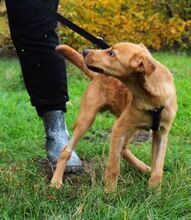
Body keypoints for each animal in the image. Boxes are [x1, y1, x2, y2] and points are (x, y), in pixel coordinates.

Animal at [50, 43, 178, 192]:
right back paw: (56, 181)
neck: (151, 100)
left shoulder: (161, 134)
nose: (85, 51)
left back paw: (144, 168)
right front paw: (110, 192)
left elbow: (158, 168)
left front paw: (154, 191)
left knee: (124, 149)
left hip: (131, 128)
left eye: (112, 54)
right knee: (66, 151)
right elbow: (113, 166)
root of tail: (97, 76)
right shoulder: (118, 128)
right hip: (87, 119)